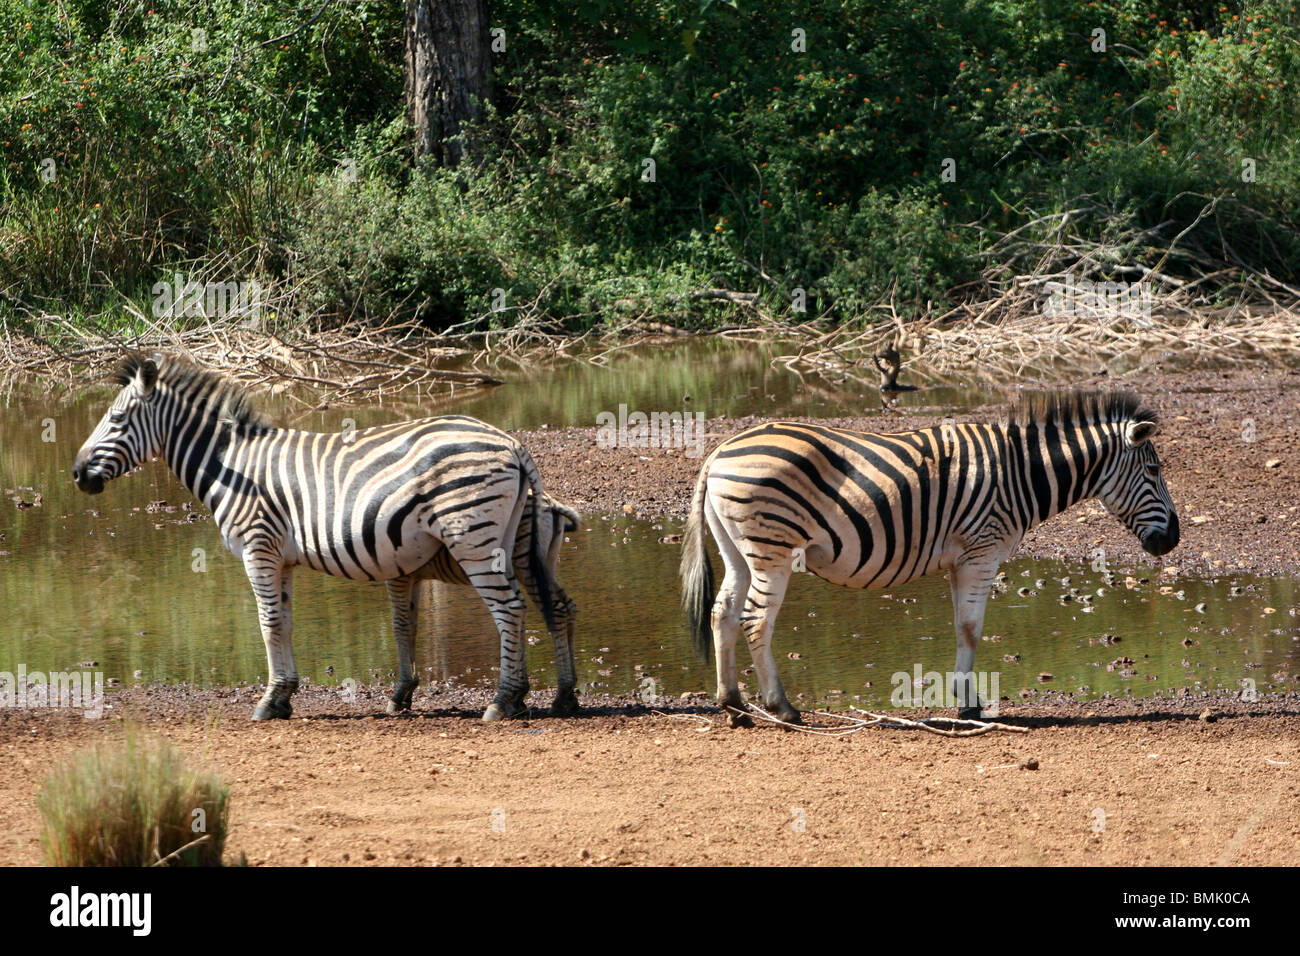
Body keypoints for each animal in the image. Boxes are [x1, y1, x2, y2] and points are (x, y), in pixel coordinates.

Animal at [72, 356, 579, 723]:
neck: (232, 467)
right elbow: (285, 622)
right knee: (552, 605)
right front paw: (284, 695)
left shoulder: (258, 547)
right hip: (513, 542)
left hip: (471, 536)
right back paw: (557, 698)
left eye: (117, 419)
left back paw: (502, 701)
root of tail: (512, 442)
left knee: (510, 608)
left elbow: (268, 623)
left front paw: (269, 702)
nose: (76, 474)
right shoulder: (281, 559)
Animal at [681, 392, 1180, 728]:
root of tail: (718, 452)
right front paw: (970, 706)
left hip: (737, 549)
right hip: (774, 548)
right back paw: (781, 707)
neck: (1019, 474)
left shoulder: (962, 558)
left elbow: (960, 626)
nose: (1173, 540)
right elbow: (972, 628)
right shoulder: (982, 551)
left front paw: (963, 698)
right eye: (1154, 470)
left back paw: (733, 704)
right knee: (755, 620)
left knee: (723, 612)